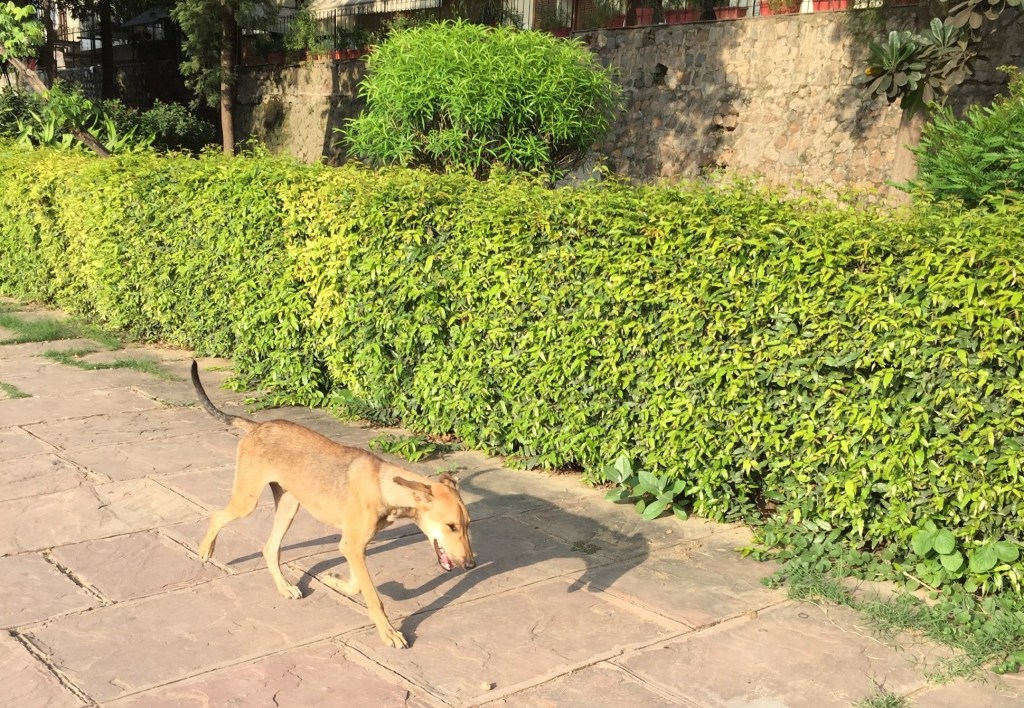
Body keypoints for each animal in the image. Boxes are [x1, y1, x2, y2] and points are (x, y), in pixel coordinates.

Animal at [190, 361, 475, 648]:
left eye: (467, 525)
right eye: (451, 526)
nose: (471, 565)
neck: (385, 486)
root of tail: (257, 425)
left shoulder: (353, 546)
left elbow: (358, 584)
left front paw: (334, 580)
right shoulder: (352, 545)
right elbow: (372, 596)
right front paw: (389, 633)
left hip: (289, 506)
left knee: (270, 549)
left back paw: (284, 587)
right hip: (247, 500)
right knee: (217, 516)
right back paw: (205, 551)